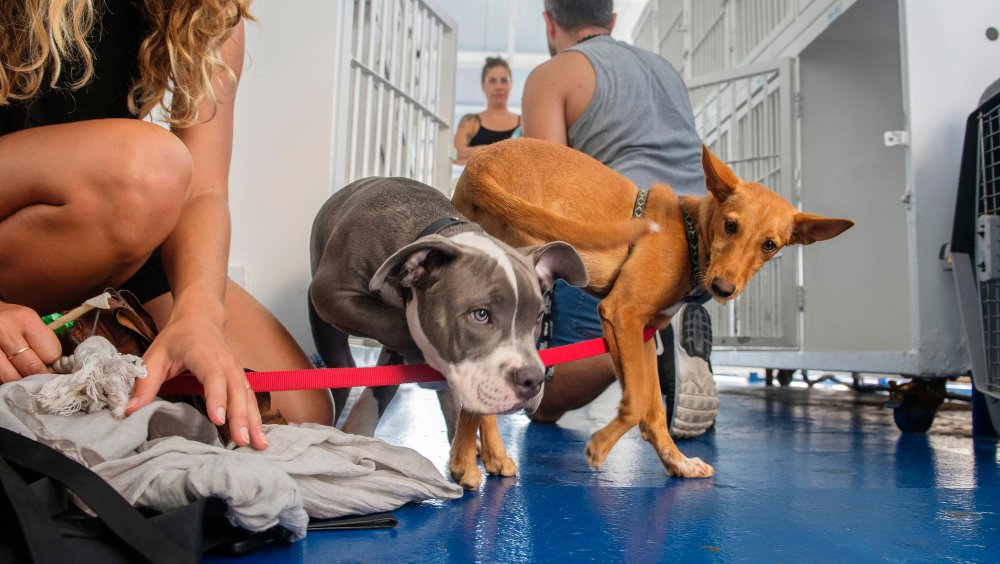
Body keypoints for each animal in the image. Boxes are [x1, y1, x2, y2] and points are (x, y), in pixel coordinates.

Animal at [454, 138, 852, 484]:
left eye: (770, 245)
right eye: (730, 224)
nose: (723, 288)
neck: (691, 237)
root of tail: (482, 163)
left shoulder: (640, 333)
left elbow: (653, 407)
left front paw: (678, 462)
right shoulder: (621, 313)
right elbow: (639, 401)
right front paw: (600, 447)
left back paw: (483, 455)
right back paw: (479, 461)